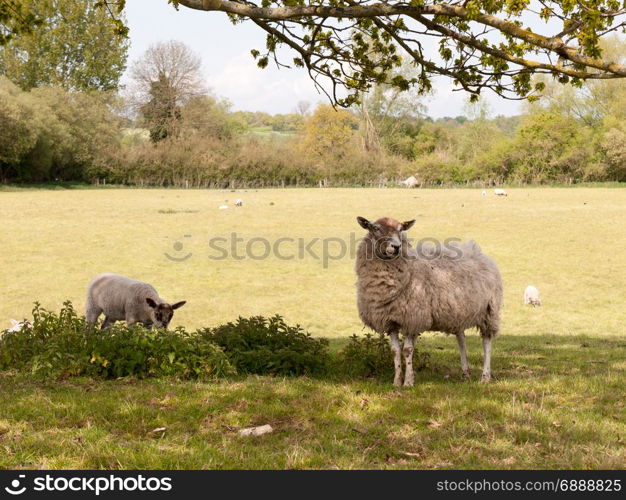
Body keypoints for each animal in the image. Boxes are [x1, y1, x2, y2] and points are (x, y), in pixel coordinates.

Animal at [354, 217, 500, 384]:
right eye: (376, 228)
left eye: (401, 229)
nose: (396, 247)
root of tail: (478, 252)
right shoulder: (390, 321)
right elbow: (395, 351)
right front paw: (397, 381)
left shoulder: (412, 318)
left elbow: (407, 350)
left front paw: (408, 382)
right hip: (459, 312)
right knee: (461, 339)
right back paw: (465, 374)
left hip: (489, 311)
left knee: (487, 341)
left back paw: (485, 377)